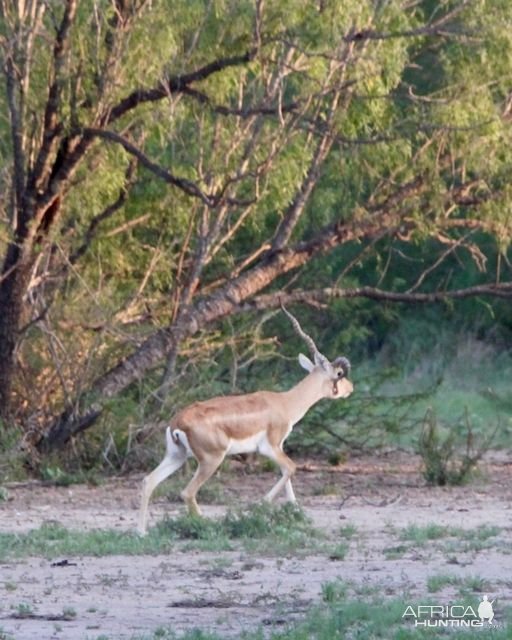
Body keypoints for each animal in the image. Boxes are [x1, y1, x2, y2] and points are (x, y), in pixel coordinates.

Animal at [138, 308, 354, 532]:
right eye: (339, 373)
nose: (351, 388)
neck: (285, 402)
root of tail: (177, 422)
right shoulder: (269, 448)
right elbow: (291, 468)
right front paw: (259, 506)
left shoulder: (279, 447)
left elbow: (286, 473)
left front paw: (297, 514)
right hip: (211, 460)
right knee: (187, 492)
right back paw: (208, 526)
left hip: (176, 456)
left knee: (148, 481)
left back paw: (141, 532)